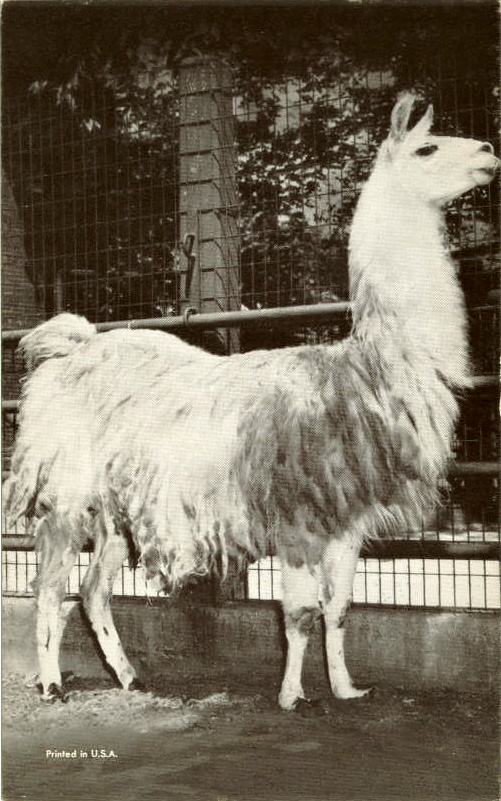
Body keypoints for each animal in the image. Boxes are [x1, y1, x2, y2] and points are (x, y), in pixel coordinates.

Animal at [4, 93, 498, 708]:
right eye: (428, 147)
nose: (489, 151)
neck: (369, 369)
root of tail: (71, 346)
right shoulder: (298, 514)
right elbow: (300, 613)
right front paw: (292, 696)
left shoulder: (346, 518)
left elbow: (339, 610)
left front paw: (346, 688)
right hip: (66, 496)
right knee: (48, 588)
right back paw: (51, 682)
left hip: (119, 510)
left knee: (93, 591)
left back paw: (131, 677)